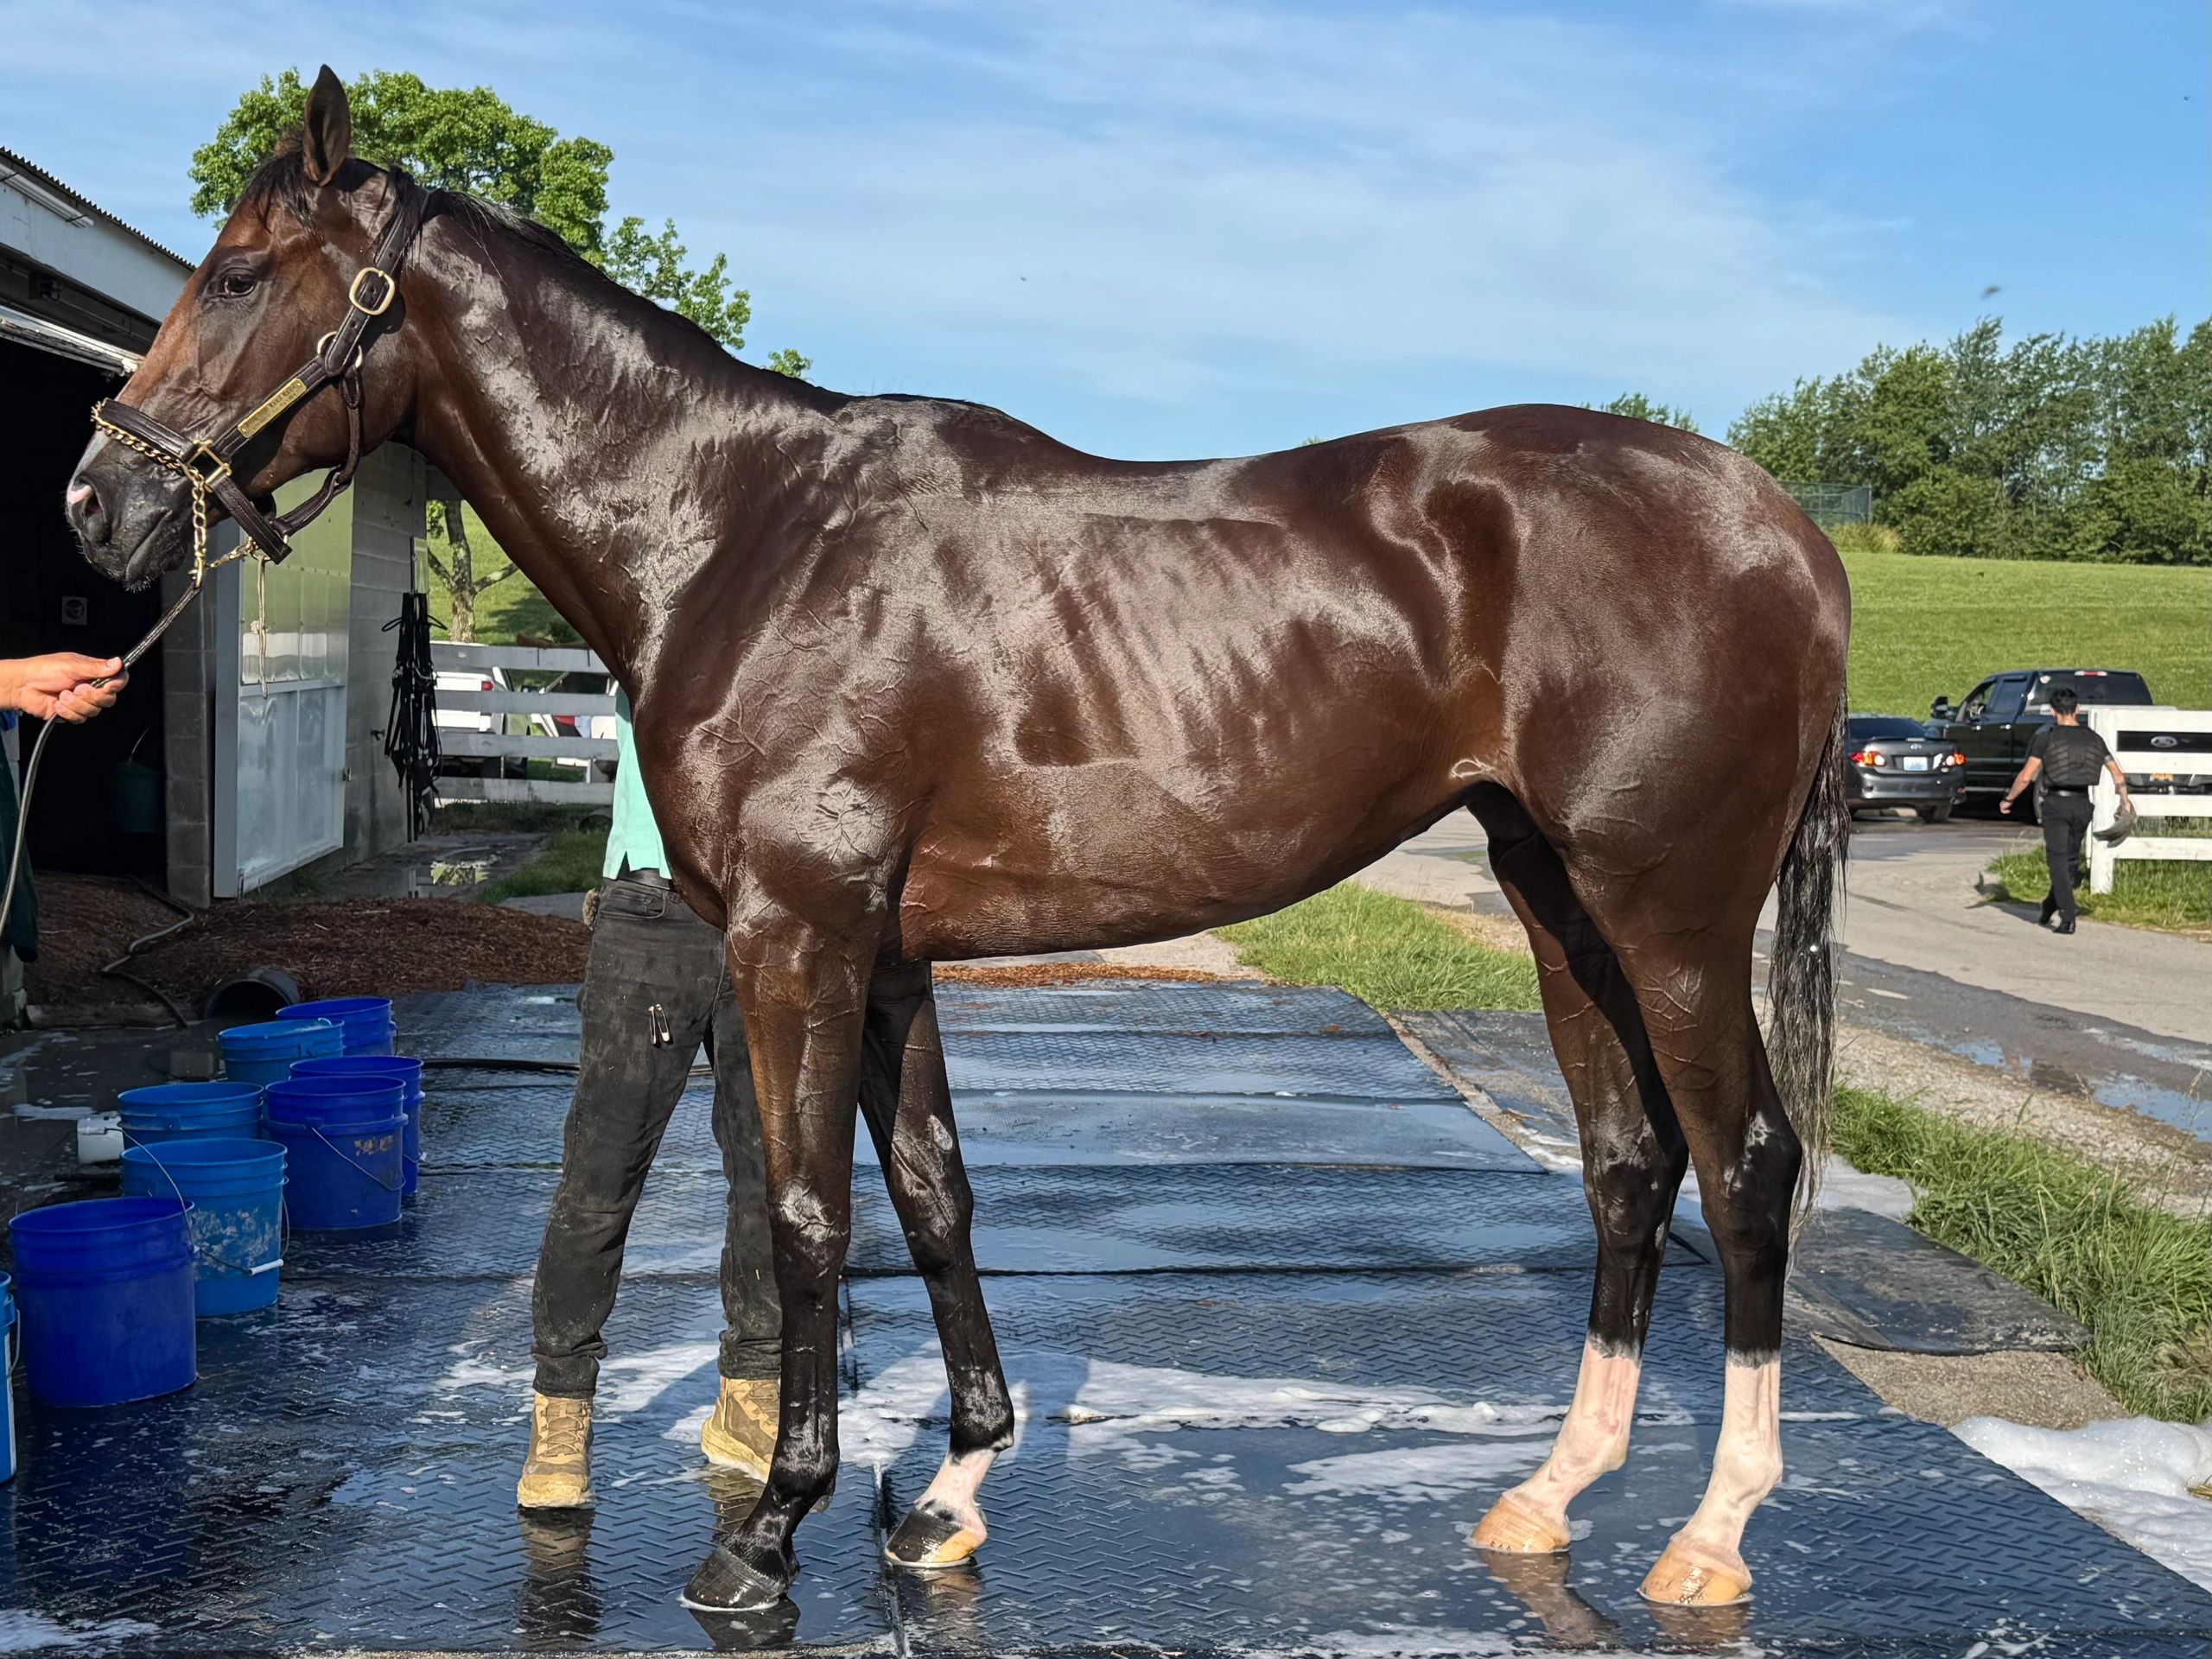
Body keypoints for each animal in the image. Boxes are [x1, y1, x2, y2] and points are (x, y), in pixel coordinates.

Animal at [68, 69, 1849, 1615]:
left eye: (236, 274)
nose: (98, 503)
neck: (742, 532)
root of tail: (1783, 525)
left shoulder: (796, 936)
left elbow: (808, 1217)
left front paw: (768, 1533)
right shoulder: (885, 957)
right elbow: (932, 1196)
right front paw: (950, 1490)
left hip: (1672, 915)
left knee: (1750, 1162)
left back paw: (1713, 1534)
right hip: (1558, 902)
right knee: (1629, 1166)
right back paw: (1549, 1498)